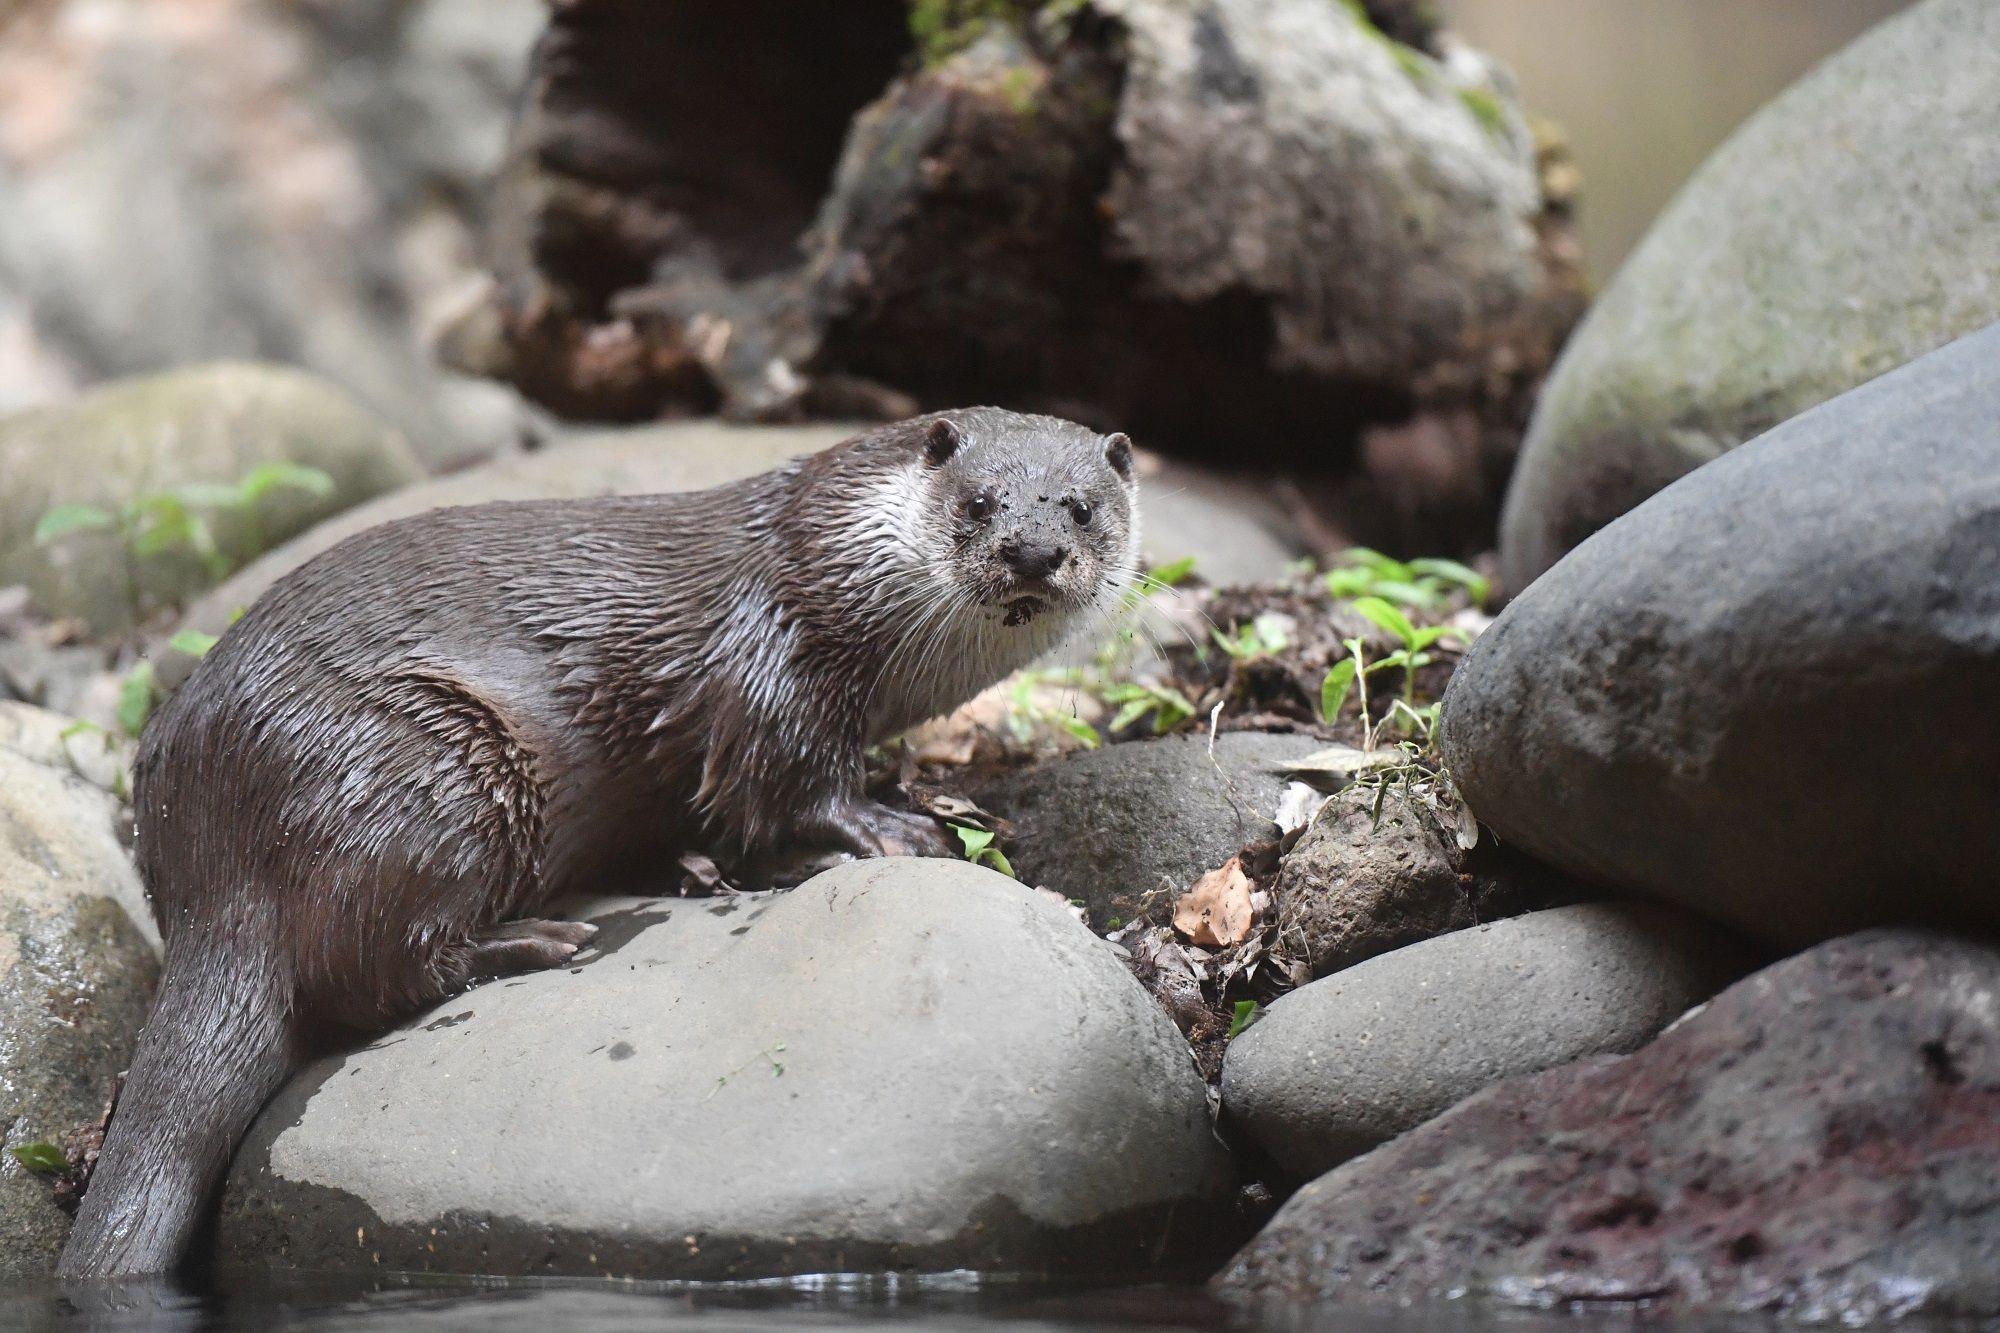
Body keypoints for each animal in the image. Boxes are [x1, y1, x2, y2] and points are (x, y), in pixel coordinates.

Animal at [62, 408, 1144, 1280]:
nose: (1032, 552)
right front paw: (885, 822)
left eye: (1083, 507)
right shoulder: (774, 656)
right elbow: (784, 776)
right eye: (978, 502)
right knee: (369, 966)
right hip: (429, 767)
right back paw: (534, 939)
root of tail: (201, 865)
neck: (833, 572)